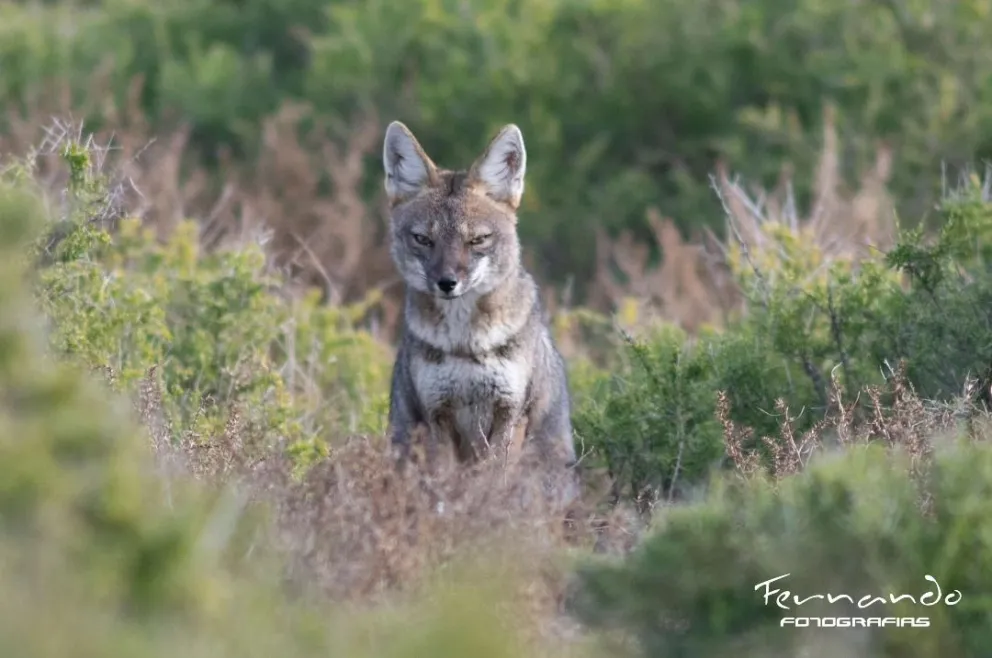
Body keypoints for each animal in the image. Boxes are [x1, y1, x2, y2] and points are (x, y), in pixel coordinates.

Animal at [382, 120, 578, 504]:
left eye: (477, 240)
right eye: (423, 239)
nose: (447, 283)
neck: (464, 344)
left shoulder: (509, 415)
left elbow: (492, 484)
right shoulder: (437, 416)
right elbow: (444, 493)